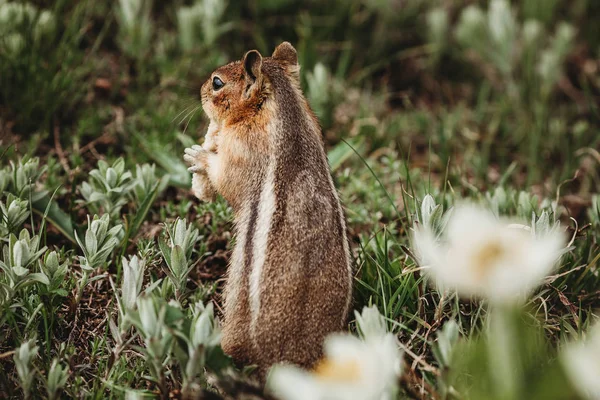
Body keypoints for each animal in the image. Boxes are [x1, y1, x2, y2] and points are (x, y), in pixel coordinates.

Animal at [183, 42, 352, 380]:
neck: (284, 108)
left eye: (217, 82)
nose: (201, 90)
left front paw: (200, 157)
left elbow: (225, 177)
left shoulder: (241, 148)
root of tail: (294, 362)